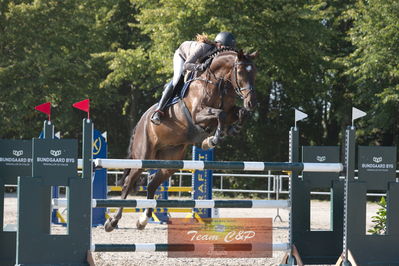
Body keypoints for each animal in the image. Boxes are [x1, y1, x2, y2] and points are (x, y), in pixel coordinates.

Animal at [104, 48, 258, 232]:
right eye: (240, 72)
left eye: (254, 73)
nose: (251, 102)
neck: (217, 84)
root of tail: (141, 121)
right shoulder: (198, 114)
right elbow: (219, 114)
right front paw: (212, 139)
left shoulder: (229, 111)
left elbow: (239, 114)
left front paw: (232, 128)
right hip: (143, 156)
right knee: (128, 183)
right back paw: (113, 221)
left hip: (169, 161)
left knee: (152, 185)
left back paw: (143, 220)